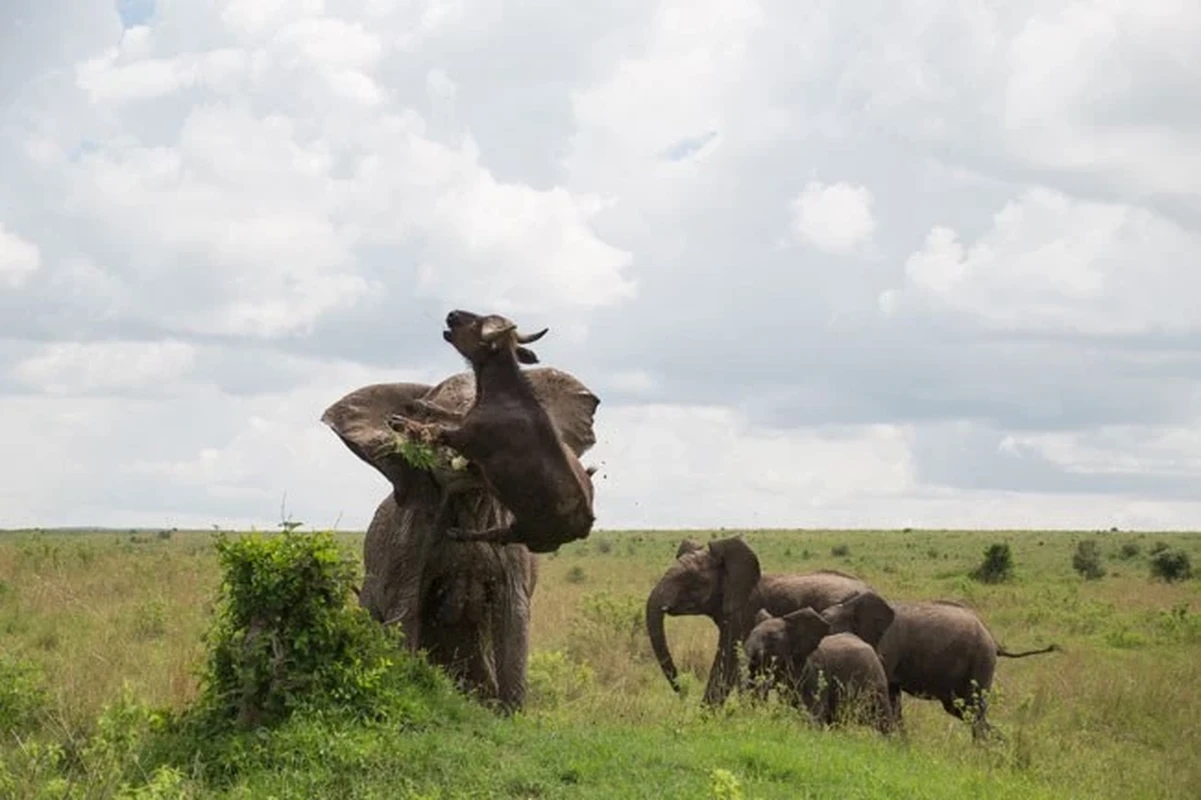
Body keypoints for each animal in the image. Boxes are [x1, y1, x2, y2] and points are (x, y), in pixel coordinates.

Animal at [744, 605, 898, 730]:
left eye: (773, 639)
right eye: (751, 633)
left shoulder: (816, 675)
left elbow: (813, 714)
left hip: (876, 683)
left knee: (883, 720)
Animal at [821, 586, 1056, 735]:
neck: (848, 606)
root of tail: (994, 640)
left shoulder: (886, 647)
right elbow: (893, 698)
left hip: (981, 661)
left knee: (974, 712)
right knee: (965, 712)